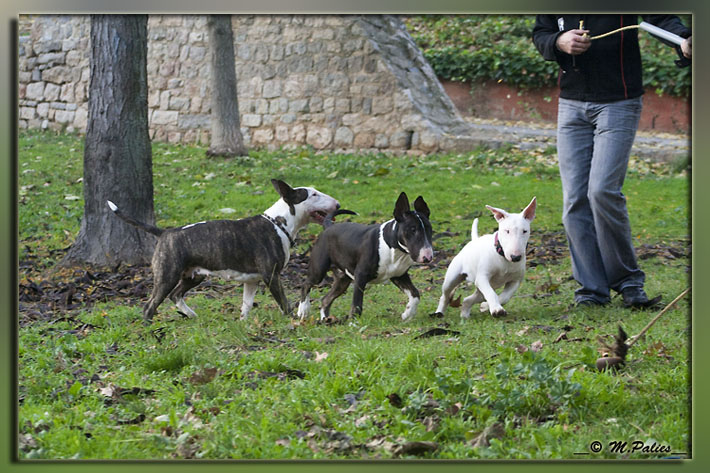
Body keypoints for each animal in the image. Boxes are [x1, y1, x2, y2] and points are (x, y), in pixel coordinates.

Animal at [107, 179, 341, 323]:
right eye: (313, 194)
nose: (338, 205)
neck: (278, 223)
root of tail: (165, 232)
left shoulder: (252, 280)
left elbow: (246, 305)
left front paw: (244, 324)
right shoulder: (271, 275)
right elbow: (284, 303)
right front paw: (293, 321)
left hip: (194, 275)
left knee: (176, 295)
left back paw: (191, 315)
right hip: (167, 274)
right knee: (150, 305)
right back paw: (150, 326)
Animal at [297, 192, 433, 322]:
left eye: (429, 228)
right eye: (412, 229)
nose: (428, 257)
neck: (393, 247)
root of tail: (329, 226)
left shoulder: (399, 276)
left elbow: (415, 294)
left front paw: (408, 314)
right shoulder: (360, 276)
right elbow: (357, 304)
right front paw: (353, 323)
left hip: (343, 279)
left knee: (326, 299)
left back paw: (325, 319)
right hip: (319, 270)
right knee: (306, 284)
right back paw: (303, 309)